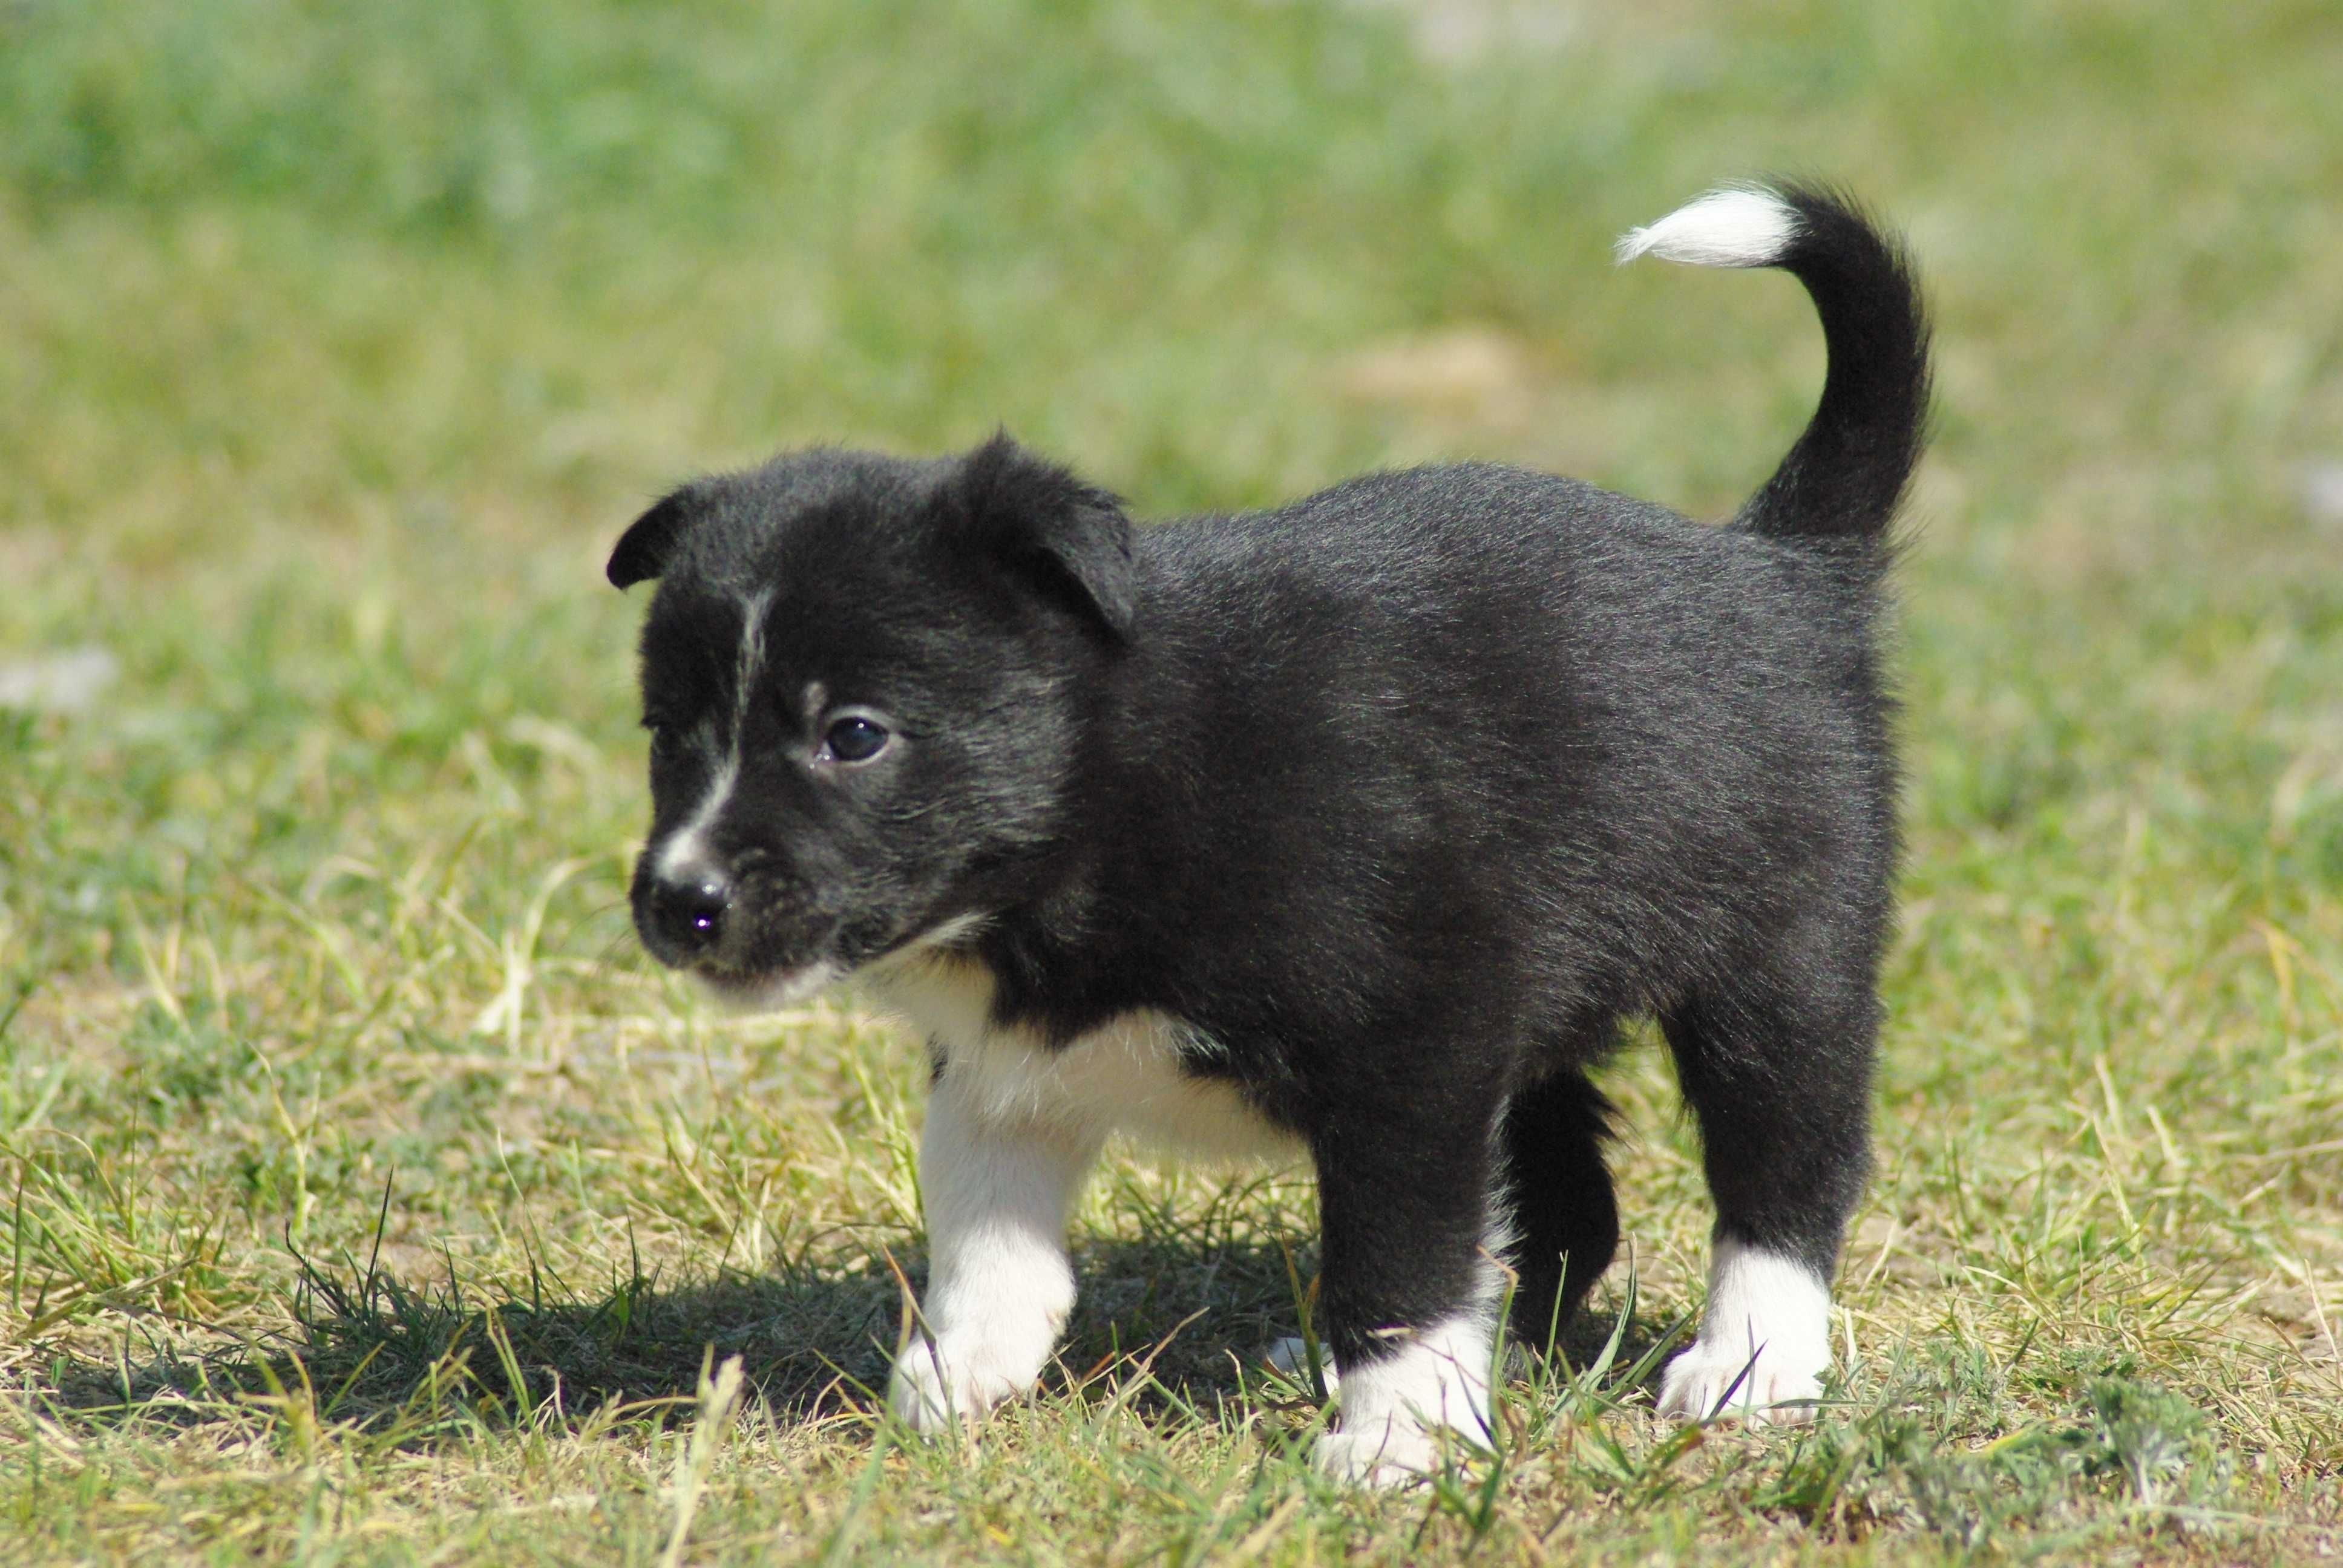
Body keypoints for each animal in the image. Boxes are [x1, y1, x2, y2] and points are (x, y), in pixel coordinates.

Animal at [604, 184, 1921, 1481]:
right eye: (667, 732)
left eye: (855, 734)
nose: (683, 902)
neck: (1114, 787)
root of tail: (1776, 559)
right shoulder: (1003, 1061)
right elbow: (989, 1226)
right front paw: (956, 1380)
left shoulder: (1415, 1050)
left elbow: (1398, 1254)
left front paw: (1399, 1440)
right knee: (1569, 1206)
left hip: (1779, 964)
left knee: (1785, 1173)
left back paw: (1748, 1367)